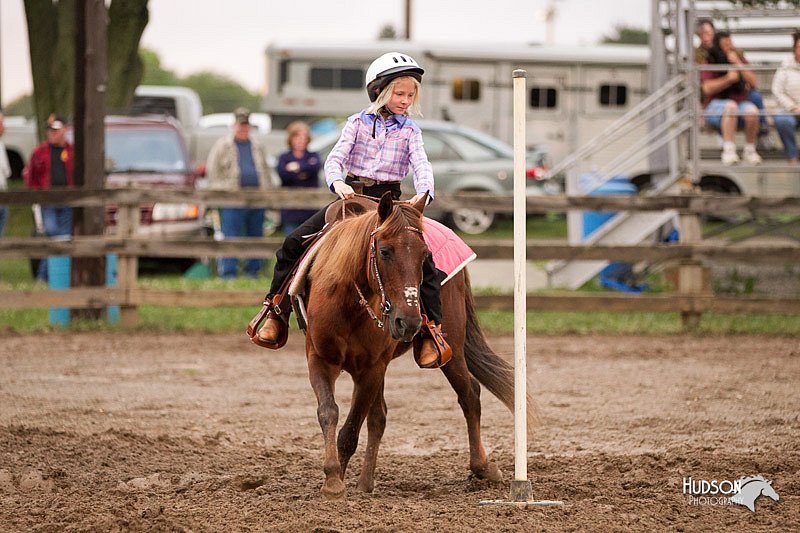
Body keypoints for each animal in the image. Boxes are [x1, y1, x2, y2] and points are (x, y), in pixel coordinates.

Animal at [304, 192, 528, 498]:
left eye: (425, 256)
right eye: (384, 251)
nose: (408, 322)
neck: (351, 304)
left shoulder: (372, 369)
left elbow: (350, 429)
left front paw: (336, 482)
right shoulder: (320, 358)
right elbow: (329, 412)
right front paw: (333, 480)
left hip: (452, 347)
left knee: (470, 393)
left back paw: (483, 468)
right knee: (379, 417)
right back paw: (365, 484)